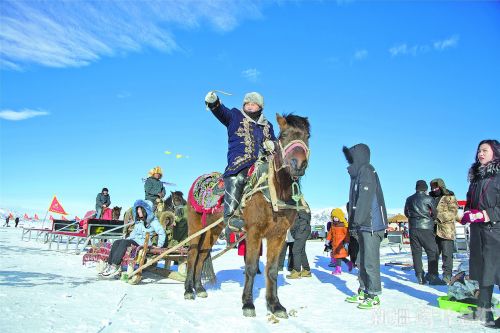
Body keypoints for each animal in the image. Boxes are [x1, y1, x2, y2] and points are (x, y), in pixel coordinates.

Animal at [184, 113, 308, 316]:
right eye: (283, 136)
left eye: (307, 137)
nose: (298, 164)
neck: (273, 192)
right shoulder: (253, 232)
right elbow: (250, 268)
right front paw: (248, 304)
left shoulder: (278, 235)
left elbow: (272, 270)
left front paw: (275, 305)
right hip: (195, 228)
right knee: (192, 255)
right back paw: (188, 290)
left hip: (212, 231)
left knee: (202, 256)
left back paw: (199, 288)